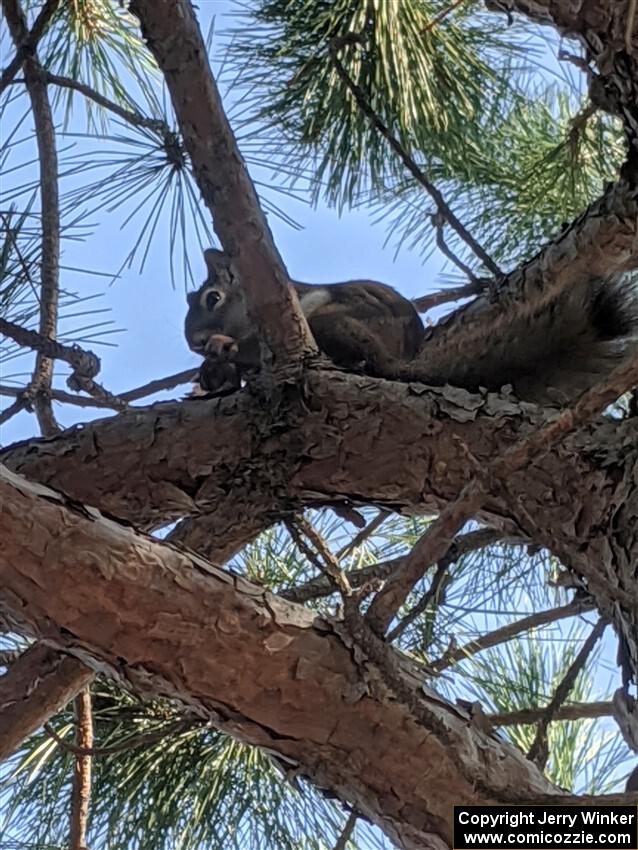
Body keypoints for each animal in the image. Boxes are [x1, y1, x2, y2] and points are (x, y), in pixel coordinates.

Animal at [186, 247, 638, 402]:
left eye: (212, 298)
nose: (194, 341)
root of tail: (397, 362)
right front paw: (213, 372)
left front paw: (224, 350)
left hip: (333, 324)